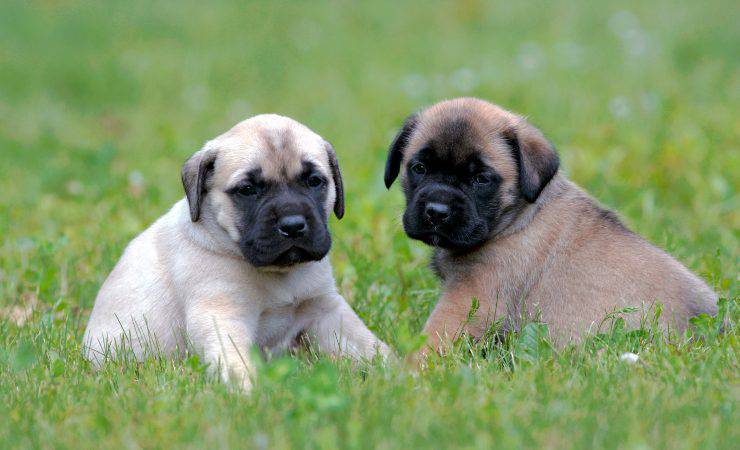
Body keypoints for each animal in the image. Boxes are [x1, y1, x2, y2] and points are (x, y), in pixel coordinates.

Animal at [84, 113, 390, 390]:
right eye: (247, 189)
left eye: (314, 181)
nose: (293, 225)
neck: (278, 276)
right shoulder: (221, 315)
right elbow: (235, 360)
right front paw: (248, 393)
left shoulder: (326, 310)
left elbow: (367, 344)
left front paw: (396, 373)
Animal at [384, 98, 720, 350]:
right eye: (419, 168)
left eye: (480, 179)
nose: (436, 211)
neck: (516, 218)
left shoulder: (469, 298)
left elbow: (432, 340)